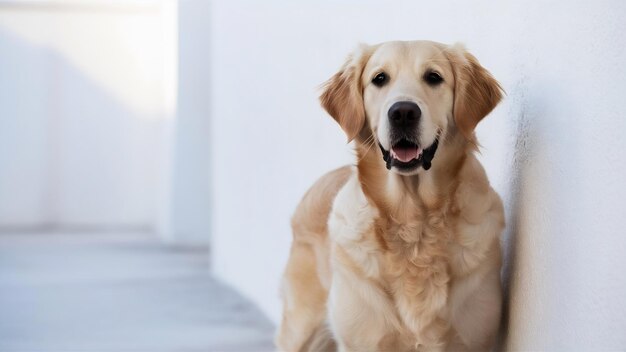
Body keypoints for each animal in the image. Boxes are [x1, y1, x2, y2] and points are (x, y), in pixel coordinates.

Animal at [276, 40, 504, 352]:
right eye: (379, 78)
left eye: (434, 77)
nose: (403, 112)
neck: (414, 222)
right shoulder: (362, 341)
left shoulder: (476, 339)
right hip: (303, 331)